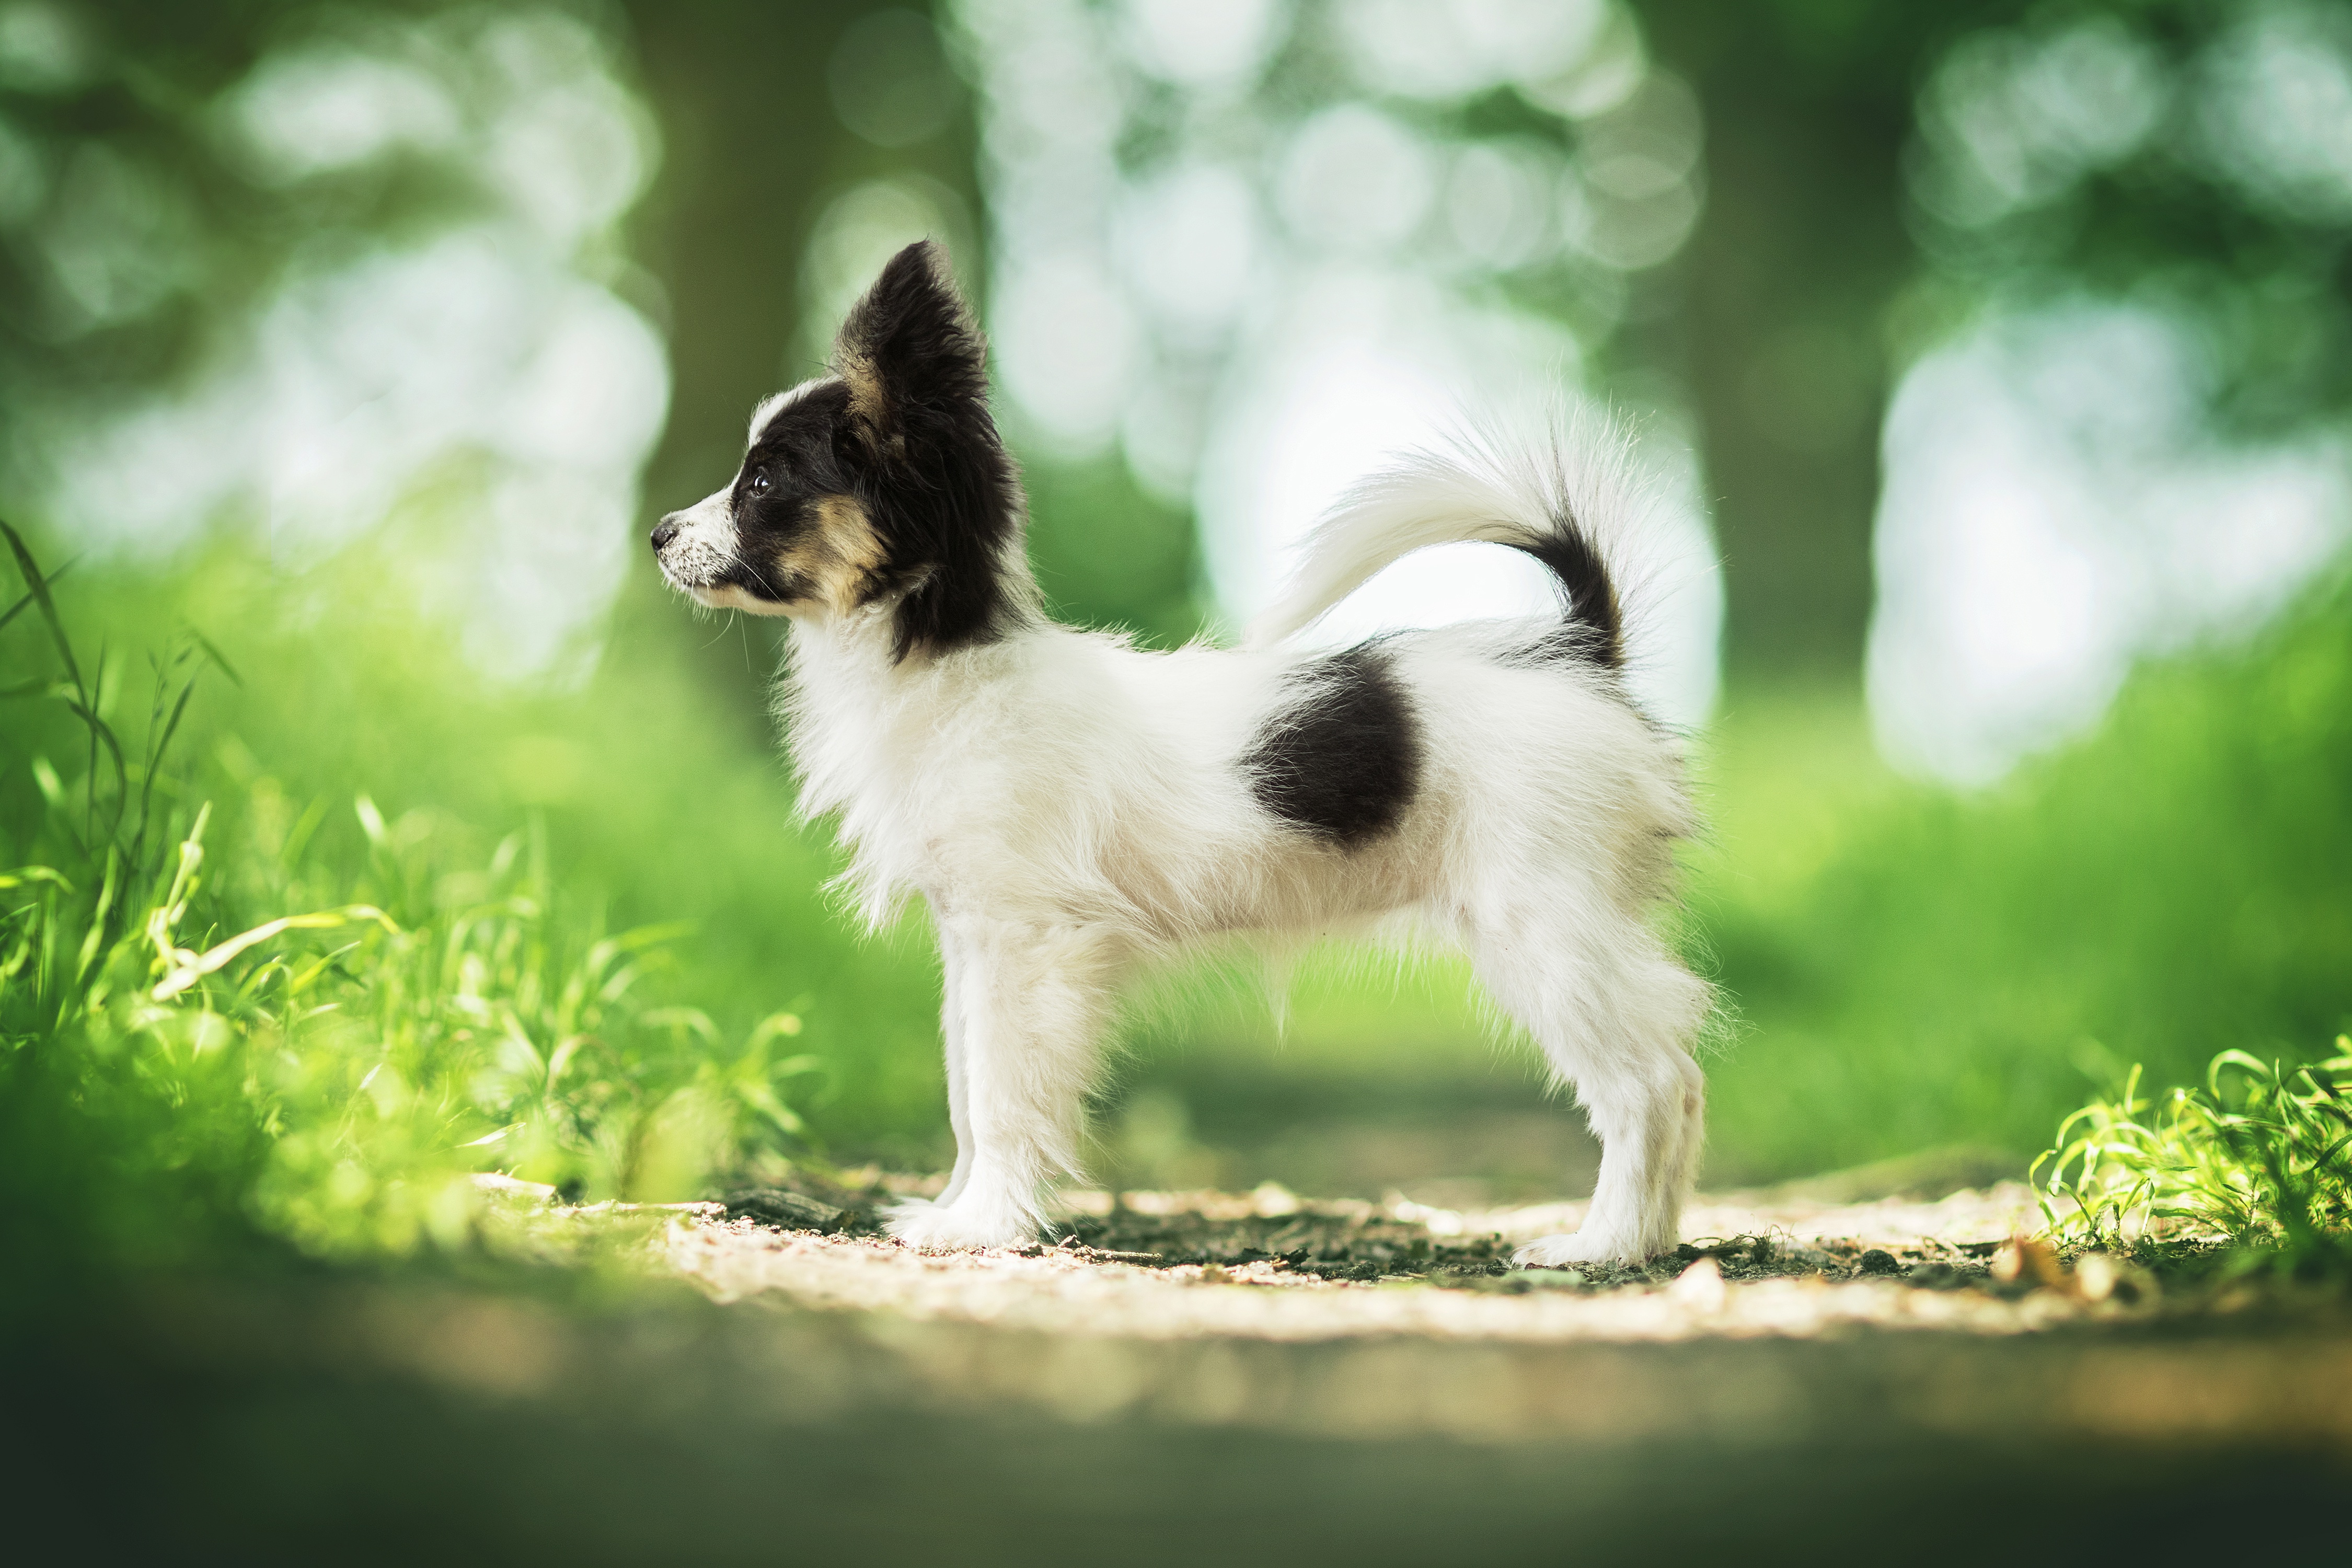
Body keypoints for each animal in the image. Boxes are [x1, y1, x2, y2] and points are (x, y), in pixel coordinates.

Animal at [654, 248, 1703, 1278]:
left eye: (762, 485)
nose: (659, 532)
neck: (945, 664)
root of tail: (1578, 649)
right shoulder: (972, 939)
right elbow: (965, 1085)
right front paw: (953, 1210)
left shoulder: (1026, 941)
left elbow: (999, 1094)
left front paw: (983, 1225)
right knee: (1677, 1083)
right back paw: (1650, 1241)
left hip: (1544, 929)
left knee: (1651, 1081)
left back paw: (1602, 1246)